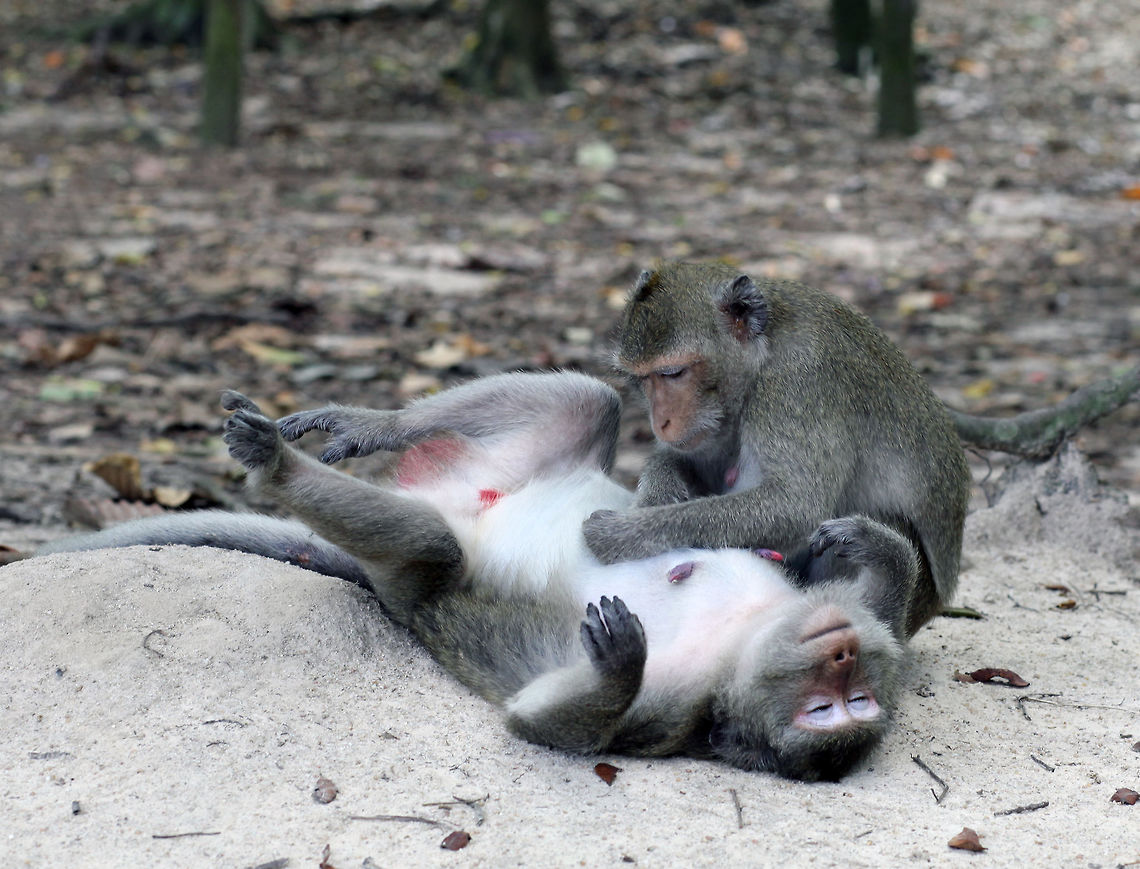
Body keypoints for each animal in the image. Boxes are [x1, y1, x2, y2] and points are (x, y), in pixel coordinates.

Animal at [38, 371, 920, 780]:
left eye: (845, 706)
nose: (843, 651)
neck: (744, 640)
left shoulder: (679, 711)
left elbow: (542, 722)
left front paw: (617, 665)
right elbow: (877, 587)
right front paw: (868, 540)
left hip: (416, 572)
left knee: (433, 547)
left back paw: (278, 468)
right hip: (513, 461)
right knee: (589, 398)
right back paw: (373, 423)